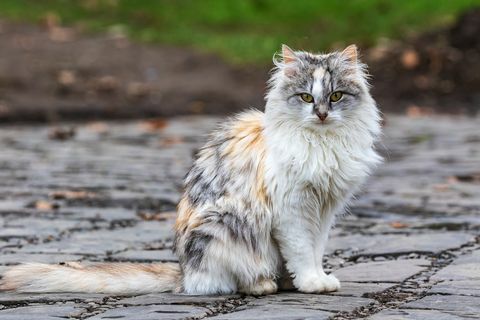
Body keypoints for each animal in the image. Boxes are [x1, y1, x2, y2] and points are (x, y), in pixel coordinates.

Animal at [0, 44, 382, 296]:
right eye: (305, 97)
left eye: (335, 96)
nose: (321, 114)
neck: (322, 144)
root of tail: (184, 273)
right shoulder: (293, 209)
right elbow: (302, 252)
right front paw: (312, 283)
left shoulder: (324, 209)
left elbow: (315, 250)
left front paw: (319, 279)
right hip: (226, 221)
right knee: (232, 281)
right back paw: (264, 285)